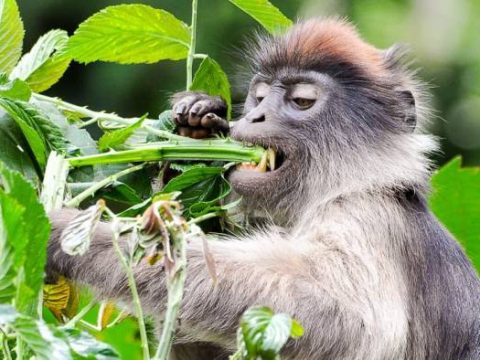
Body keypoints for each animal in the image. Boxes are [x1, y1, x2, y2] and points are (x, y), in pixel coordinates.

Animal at [47, 18, 480, 358]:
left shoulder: (369, 216)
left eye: (301, 99)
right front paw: (192, 128)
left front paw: (66, 231)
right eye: (258, 96)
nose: (255, 115)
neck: (347, 185)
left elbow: (348, 319)